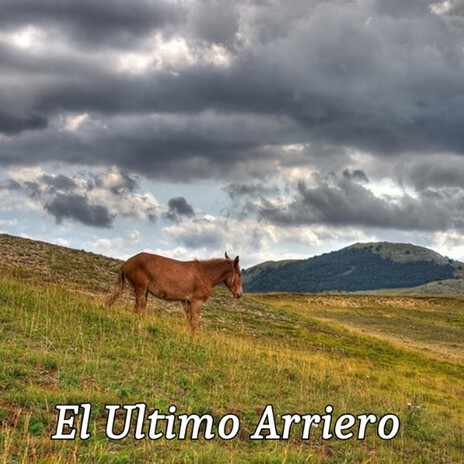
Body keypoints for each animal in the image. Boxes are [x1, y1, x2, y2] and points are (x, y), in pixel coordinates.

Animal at [108, 252, 243, 336]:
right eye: (239, 275)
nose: (239, 294)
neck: (205, 274)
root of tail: (126, 263)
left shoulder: (186, 301)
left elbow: (189, 320)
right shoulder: (197, 302)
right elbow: (194, 322)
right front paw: (191, 339)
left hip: (143, 291)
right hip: (141, 290)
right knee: (139, 310)